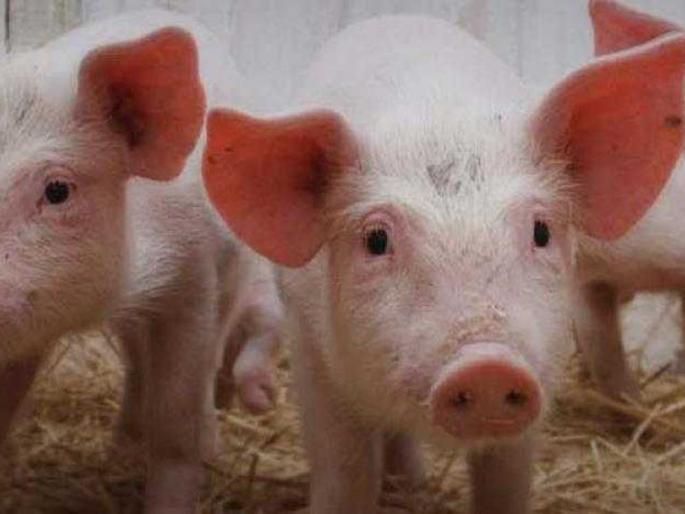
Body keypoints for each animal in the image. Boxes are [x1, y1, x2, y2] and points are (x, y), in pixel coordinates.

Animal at [0, 10, 282, 514]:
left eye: (57, 190)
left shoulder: (192, 278)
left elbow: (174, 420)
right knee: (135, 362)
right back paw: (123, 447)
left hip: (234, 271)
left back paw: (210, 442)